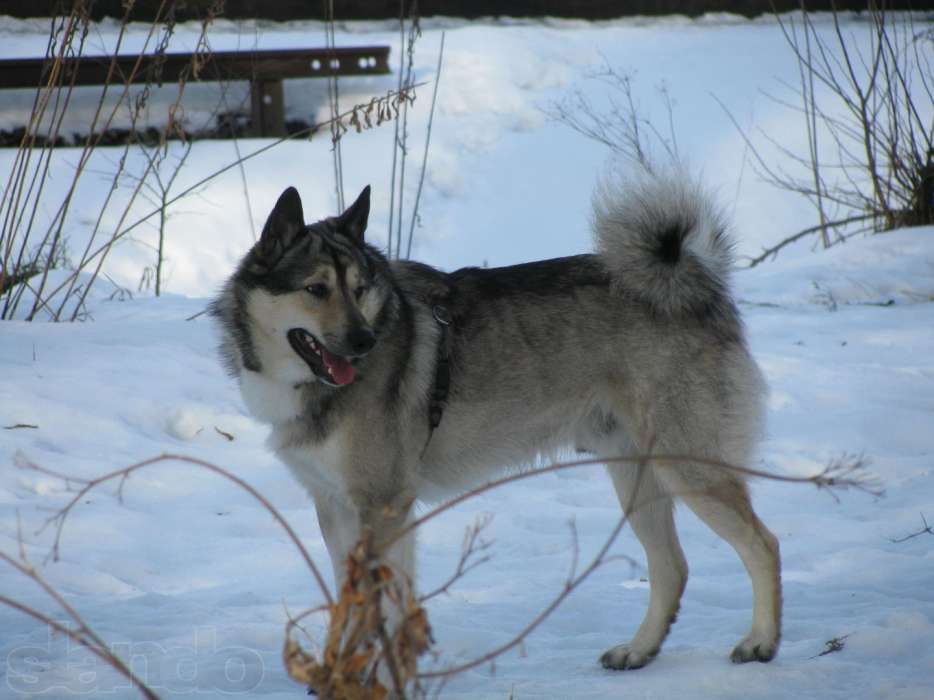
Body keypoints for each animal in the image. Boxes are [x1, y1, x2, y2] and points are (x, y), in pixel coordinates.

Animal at [212, 170, 784, 672]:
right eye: (316, 289)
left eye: (357, 288)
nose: (364, 342)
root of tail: (696, 282)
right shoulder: (337, 509)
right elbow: (361, 604)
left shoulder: (382, 506)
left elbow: (370, 608)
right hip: (635, 477)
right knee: (672, 567)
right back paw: (638, 651)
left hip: (687, 469)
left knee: (763, 544)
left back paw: (761, 642)